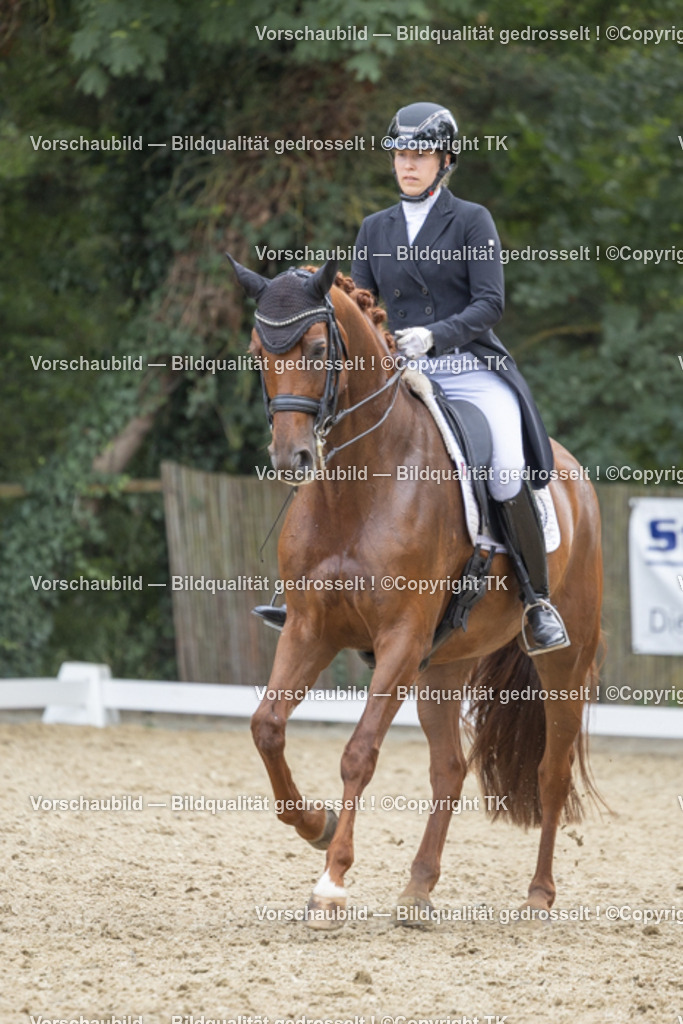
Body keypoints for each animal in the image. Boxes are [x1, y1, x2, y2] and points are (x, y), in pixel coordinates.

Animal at [228, 255, 603, 930]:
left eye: (319, 348)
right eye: (256, 352)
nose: (291, 458)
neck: (358, 487)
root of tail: (572, 473)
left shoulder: (399, 640)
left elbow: (359, 753)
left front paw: (331, 883)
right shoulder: (310, 630)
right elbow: (266, 726)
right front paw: (317, 826)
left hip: (564, 660)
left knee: (552, 772)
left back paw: (538, 895)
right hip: (442, 665)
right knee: (449, 768)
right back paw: (418, 890)